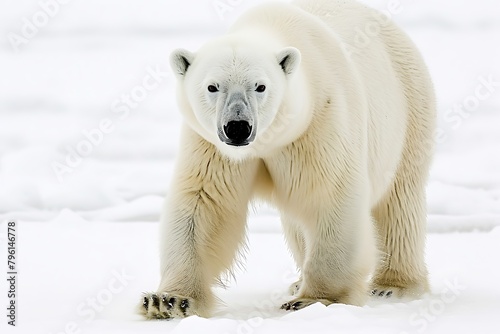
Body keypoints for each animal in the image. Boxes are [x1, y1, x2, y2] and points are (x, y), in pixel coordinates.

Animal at [140, 0, 434, 318]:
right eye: (212, 86)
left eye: (260, 86)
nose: (238, 127)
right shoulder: (211, 147)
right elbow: (204, 204)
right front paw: (168, 300)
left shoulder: (319, 121)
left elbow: (328, 196)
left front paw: (317, 299)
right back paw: (298, 281)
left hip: (409, 109)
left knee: (398, 204)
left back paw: (392, 285)